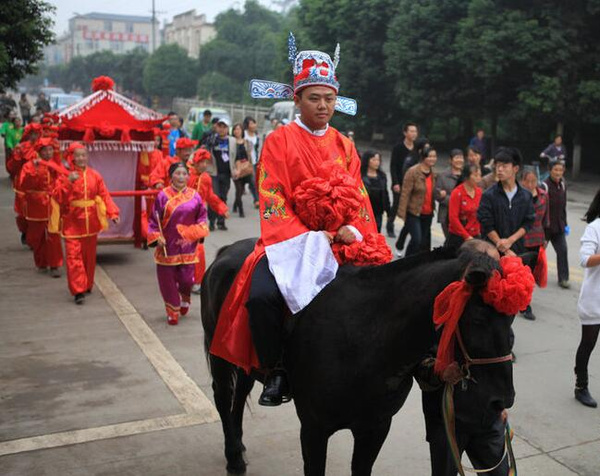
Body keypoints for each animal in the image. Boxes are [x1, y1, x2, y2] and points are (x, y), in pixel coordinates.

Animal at [202, 238, 524, 476]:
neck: (365, 340)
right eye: (478, 319)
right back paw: (233, 457)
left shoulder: (375, 428)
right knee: (223, 396)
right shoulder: (314, 428)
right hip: (219, 355)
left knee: (239, 395)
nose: (501, 401)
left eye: (511, 319)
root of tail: (226, 252)